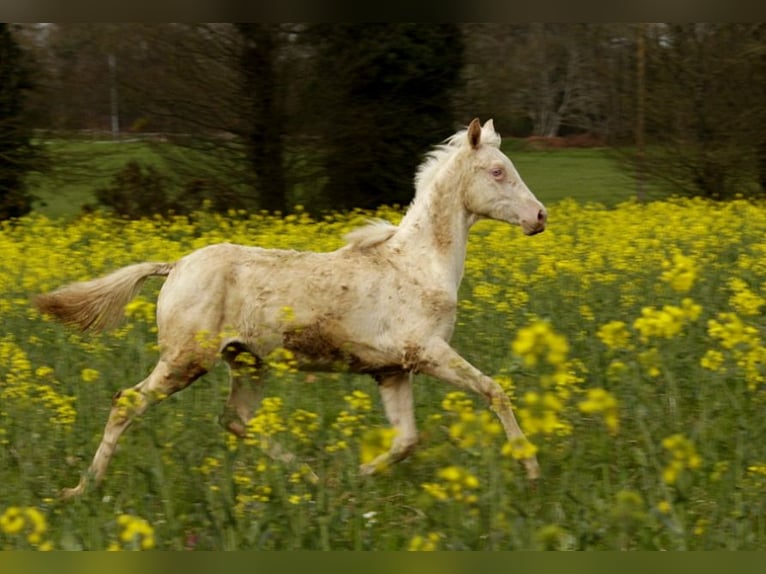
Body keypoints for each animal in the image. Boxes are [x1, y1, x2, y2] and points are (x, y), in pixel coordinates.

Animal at [36, 120, 548, 500]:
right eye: (497, 171)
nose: (539, 217)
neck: (419, 264)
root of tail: (176, 265)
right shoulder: (427, 352)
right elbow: (495, 391)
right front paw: (531, 470)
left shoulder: (391, 371)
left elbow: (406, 440)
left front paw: (355, 478)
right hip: (186, 360)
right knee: (127, 402)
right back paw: (81, 490)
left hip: (246, 362)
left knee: (233, 419)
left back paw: (312, 478)